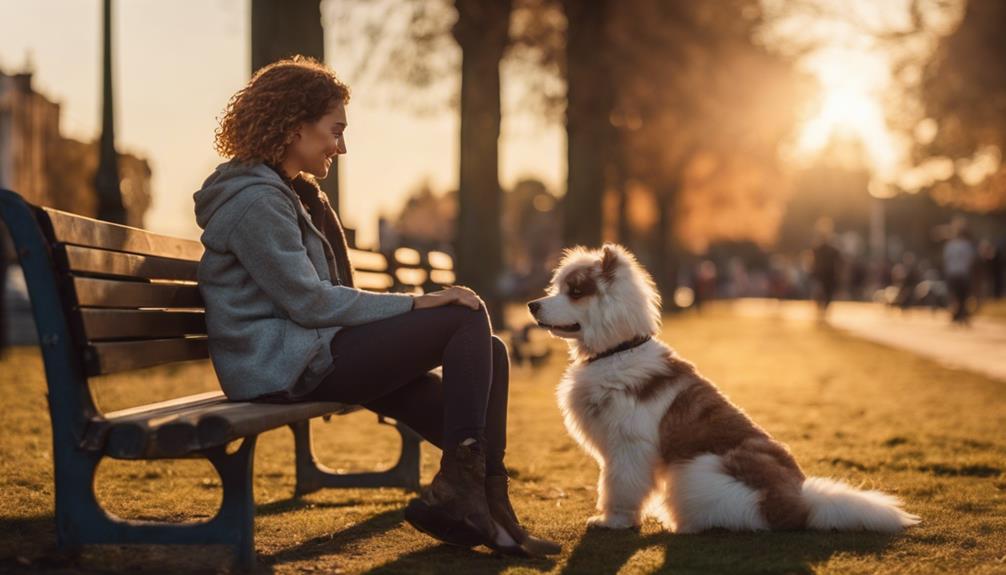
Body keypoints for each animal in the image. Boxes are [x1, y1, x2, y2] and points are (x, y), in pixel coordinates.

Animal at [527, 245, 921, 530]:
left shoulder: (628, 446)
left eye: (575, 291)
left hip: (695, 471)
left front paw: (613, 522)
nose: (532, 304)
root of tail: (804, 501)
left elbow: (618, 487)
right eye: (557, 288)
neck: (618, 349)